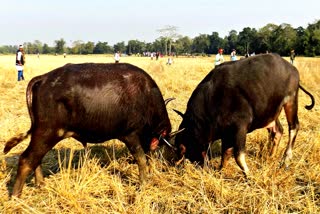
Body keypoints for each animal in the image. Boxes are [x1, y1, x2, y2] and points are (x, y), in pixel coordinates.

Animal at [3, 62, 172, 197]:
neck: (146, 96)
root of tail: (44, 78)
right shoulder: (131, 136)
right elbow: (141, 159)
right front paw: (143, 183)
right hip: (47, 132)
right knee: (26, 159)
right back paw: (16, 196)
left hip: (41, 134)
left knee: (36, 158)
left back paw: (41, 184)